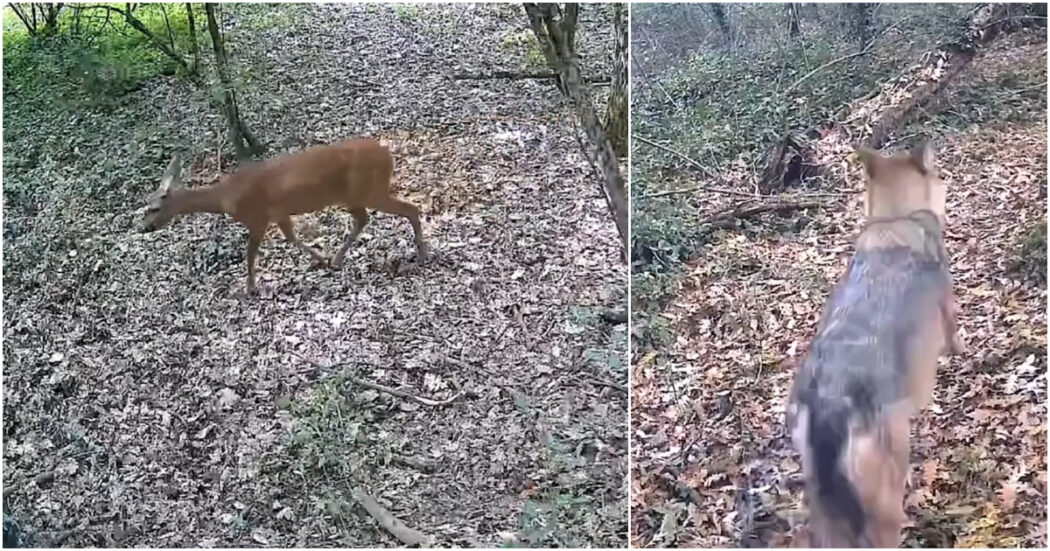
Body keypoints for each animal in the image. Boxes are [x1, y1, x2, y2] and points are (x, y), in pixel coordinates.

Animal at [139, 138, 426, 291]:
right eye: (145, 205)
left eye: (154, 208)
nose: (144, 227)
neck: (225, 197)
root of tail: (388, 155)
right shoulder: (278, 214)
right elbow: (291, 237)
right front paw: (320, 259)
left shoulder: (257, 217)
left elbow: (250, 253)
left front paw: (249, 289)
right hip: (356, 196)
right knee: (364, 218)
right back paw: (337, 259)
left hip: (368, 191)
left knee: (409, 208)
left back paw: (422, 255)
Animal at [785, 140, 961, 545]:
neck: (896, 220)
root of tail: (829, 404)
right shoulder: (948, 308)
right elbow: (957, 340)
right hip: (887, 498)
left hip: (826, 512)